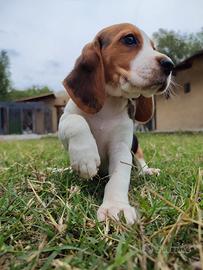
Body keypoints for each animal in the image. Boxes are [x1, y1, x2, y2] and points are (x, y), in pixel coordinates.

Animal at [58, 23, 174, 225]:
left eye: (154, 47)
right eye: (129, 39)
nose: (170, 64)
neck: (109, 105)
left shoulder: (121, 147)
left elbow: (119, 178)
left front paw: (115, 207)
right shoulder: (65, 120)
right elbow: (76, 121)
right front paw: (85, 158)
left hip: (136, 143)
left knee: (140, 161)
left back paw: (147, 171)